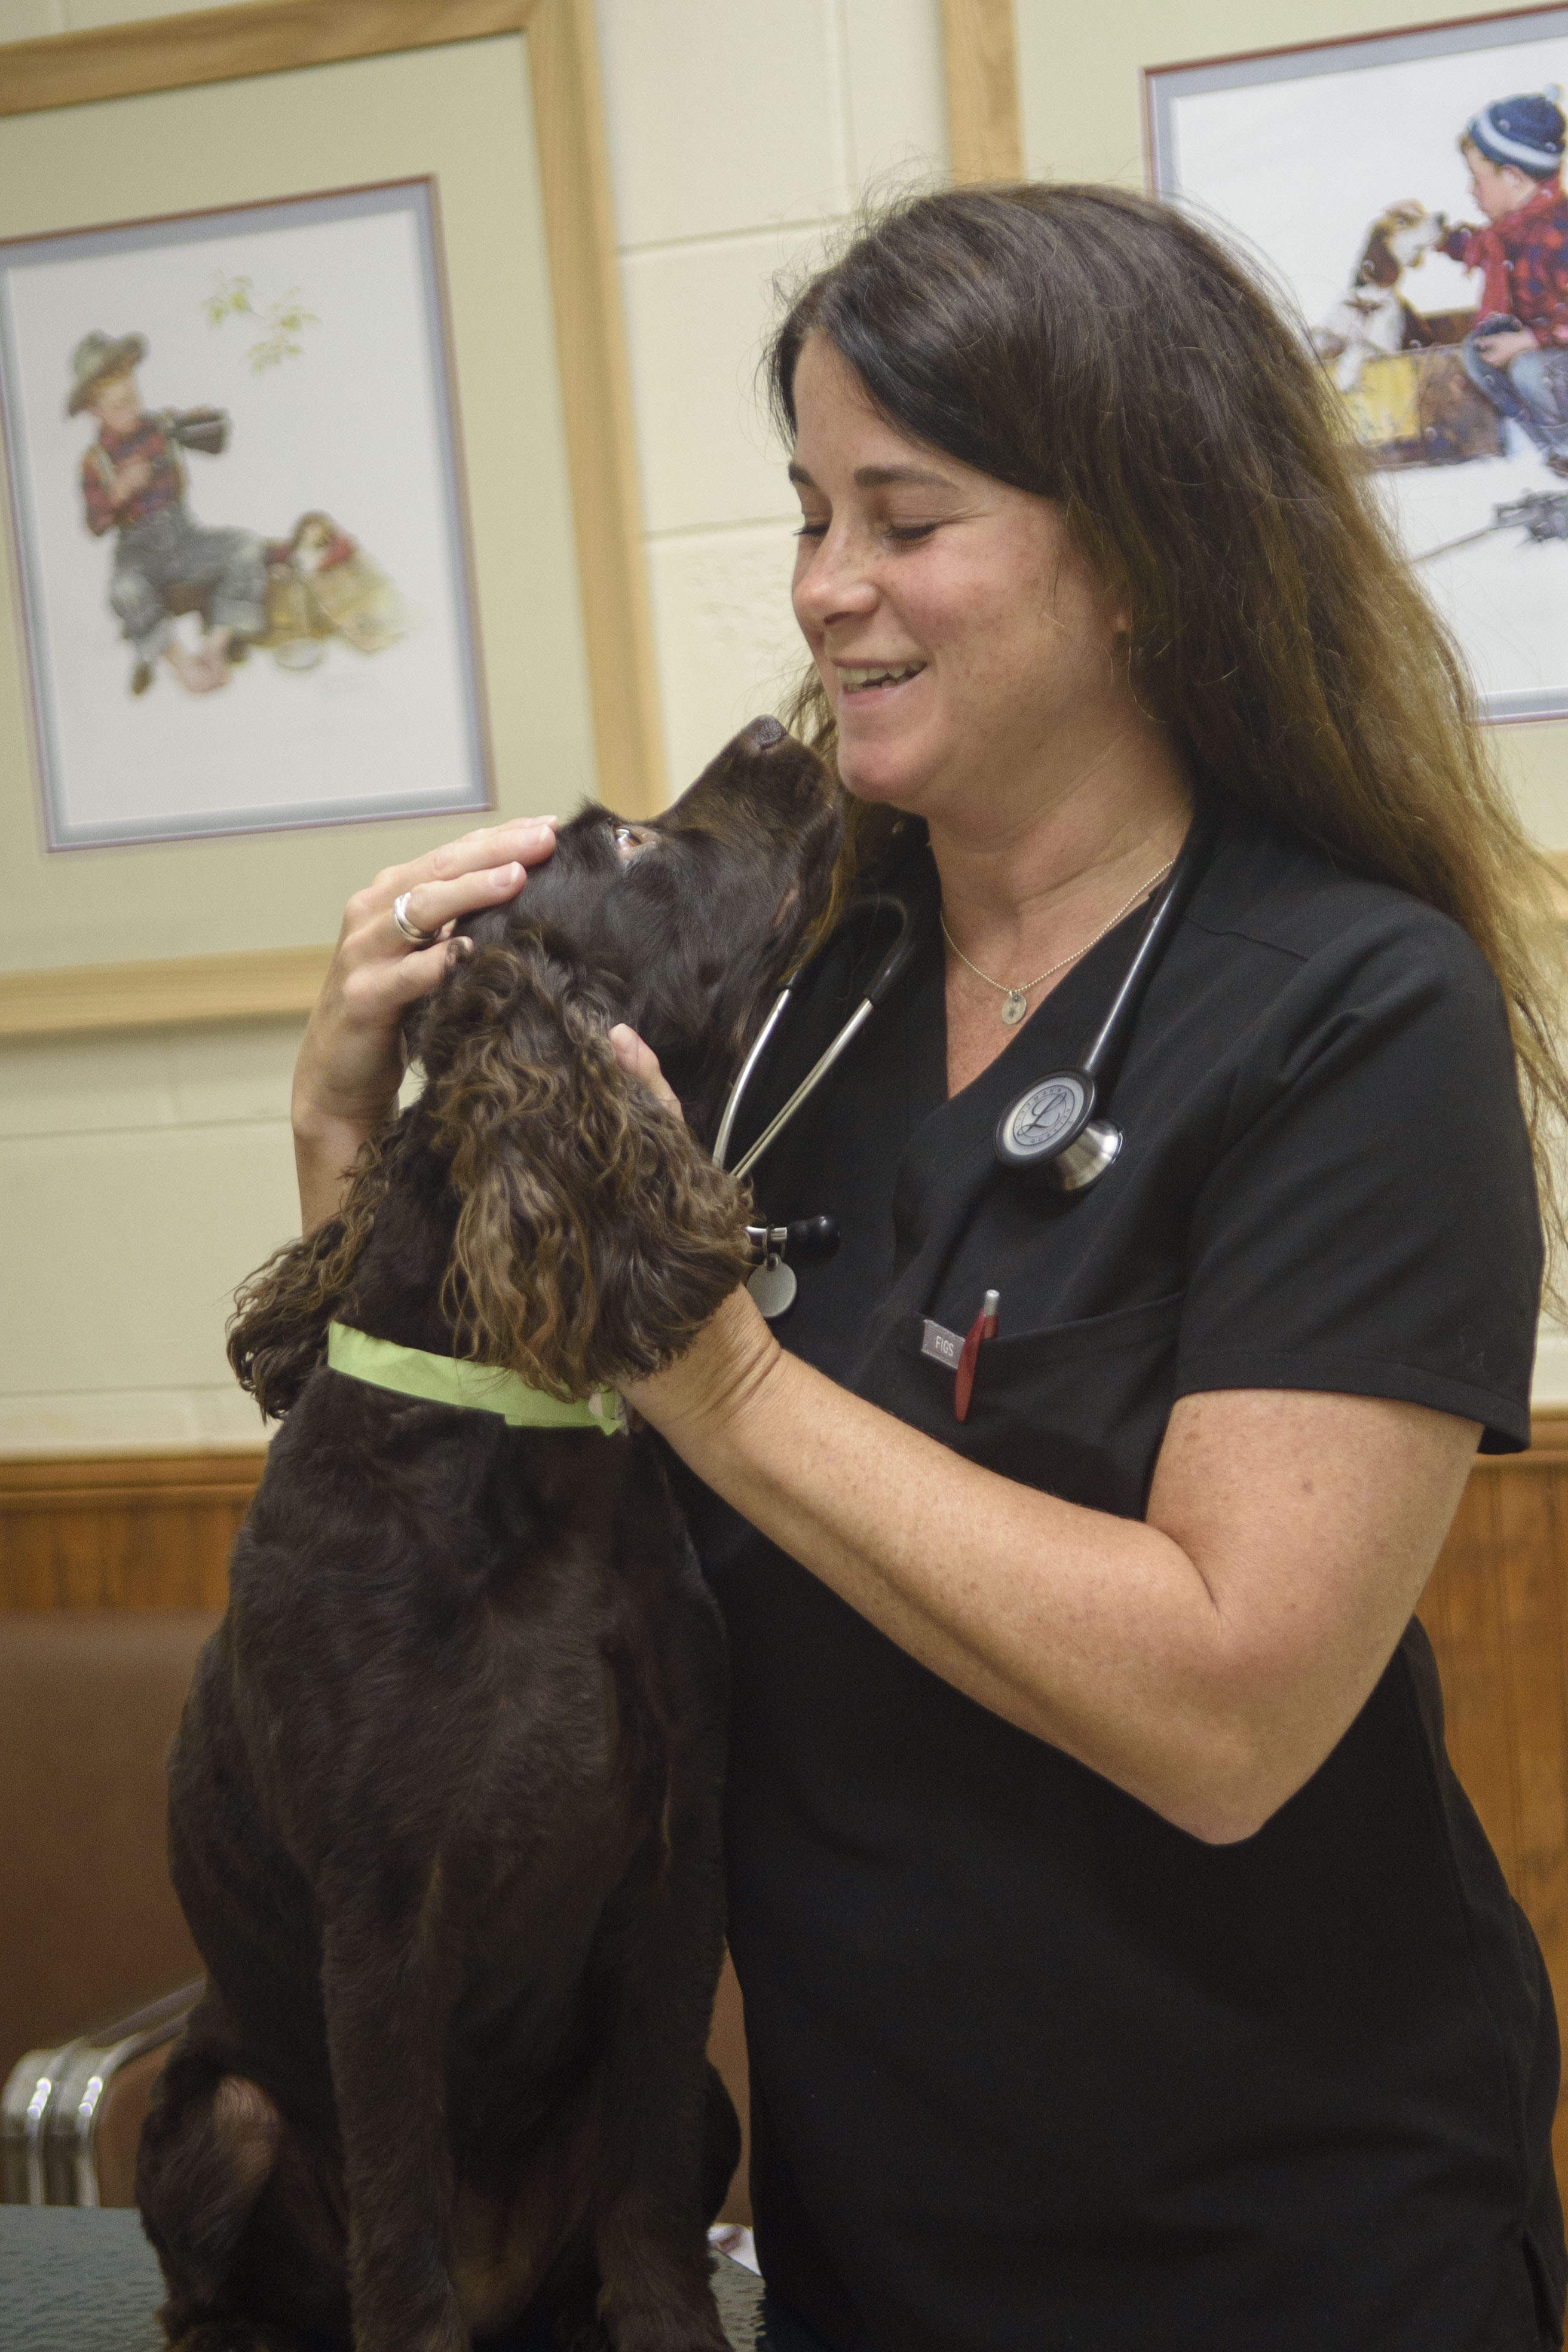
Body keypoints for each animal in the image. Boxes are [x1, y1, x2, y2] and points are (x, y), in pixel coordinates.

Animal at [135, 719, 846, 2352]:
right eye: (630, 848)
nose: (777, 731)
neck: (515, 1454)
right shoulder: (384, 1912)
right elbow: (401, 2231)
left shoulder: (675, 1864)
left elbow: (647, 2188)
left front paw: (667, 2326)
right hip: (214, 2113)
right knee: (217, 2286)